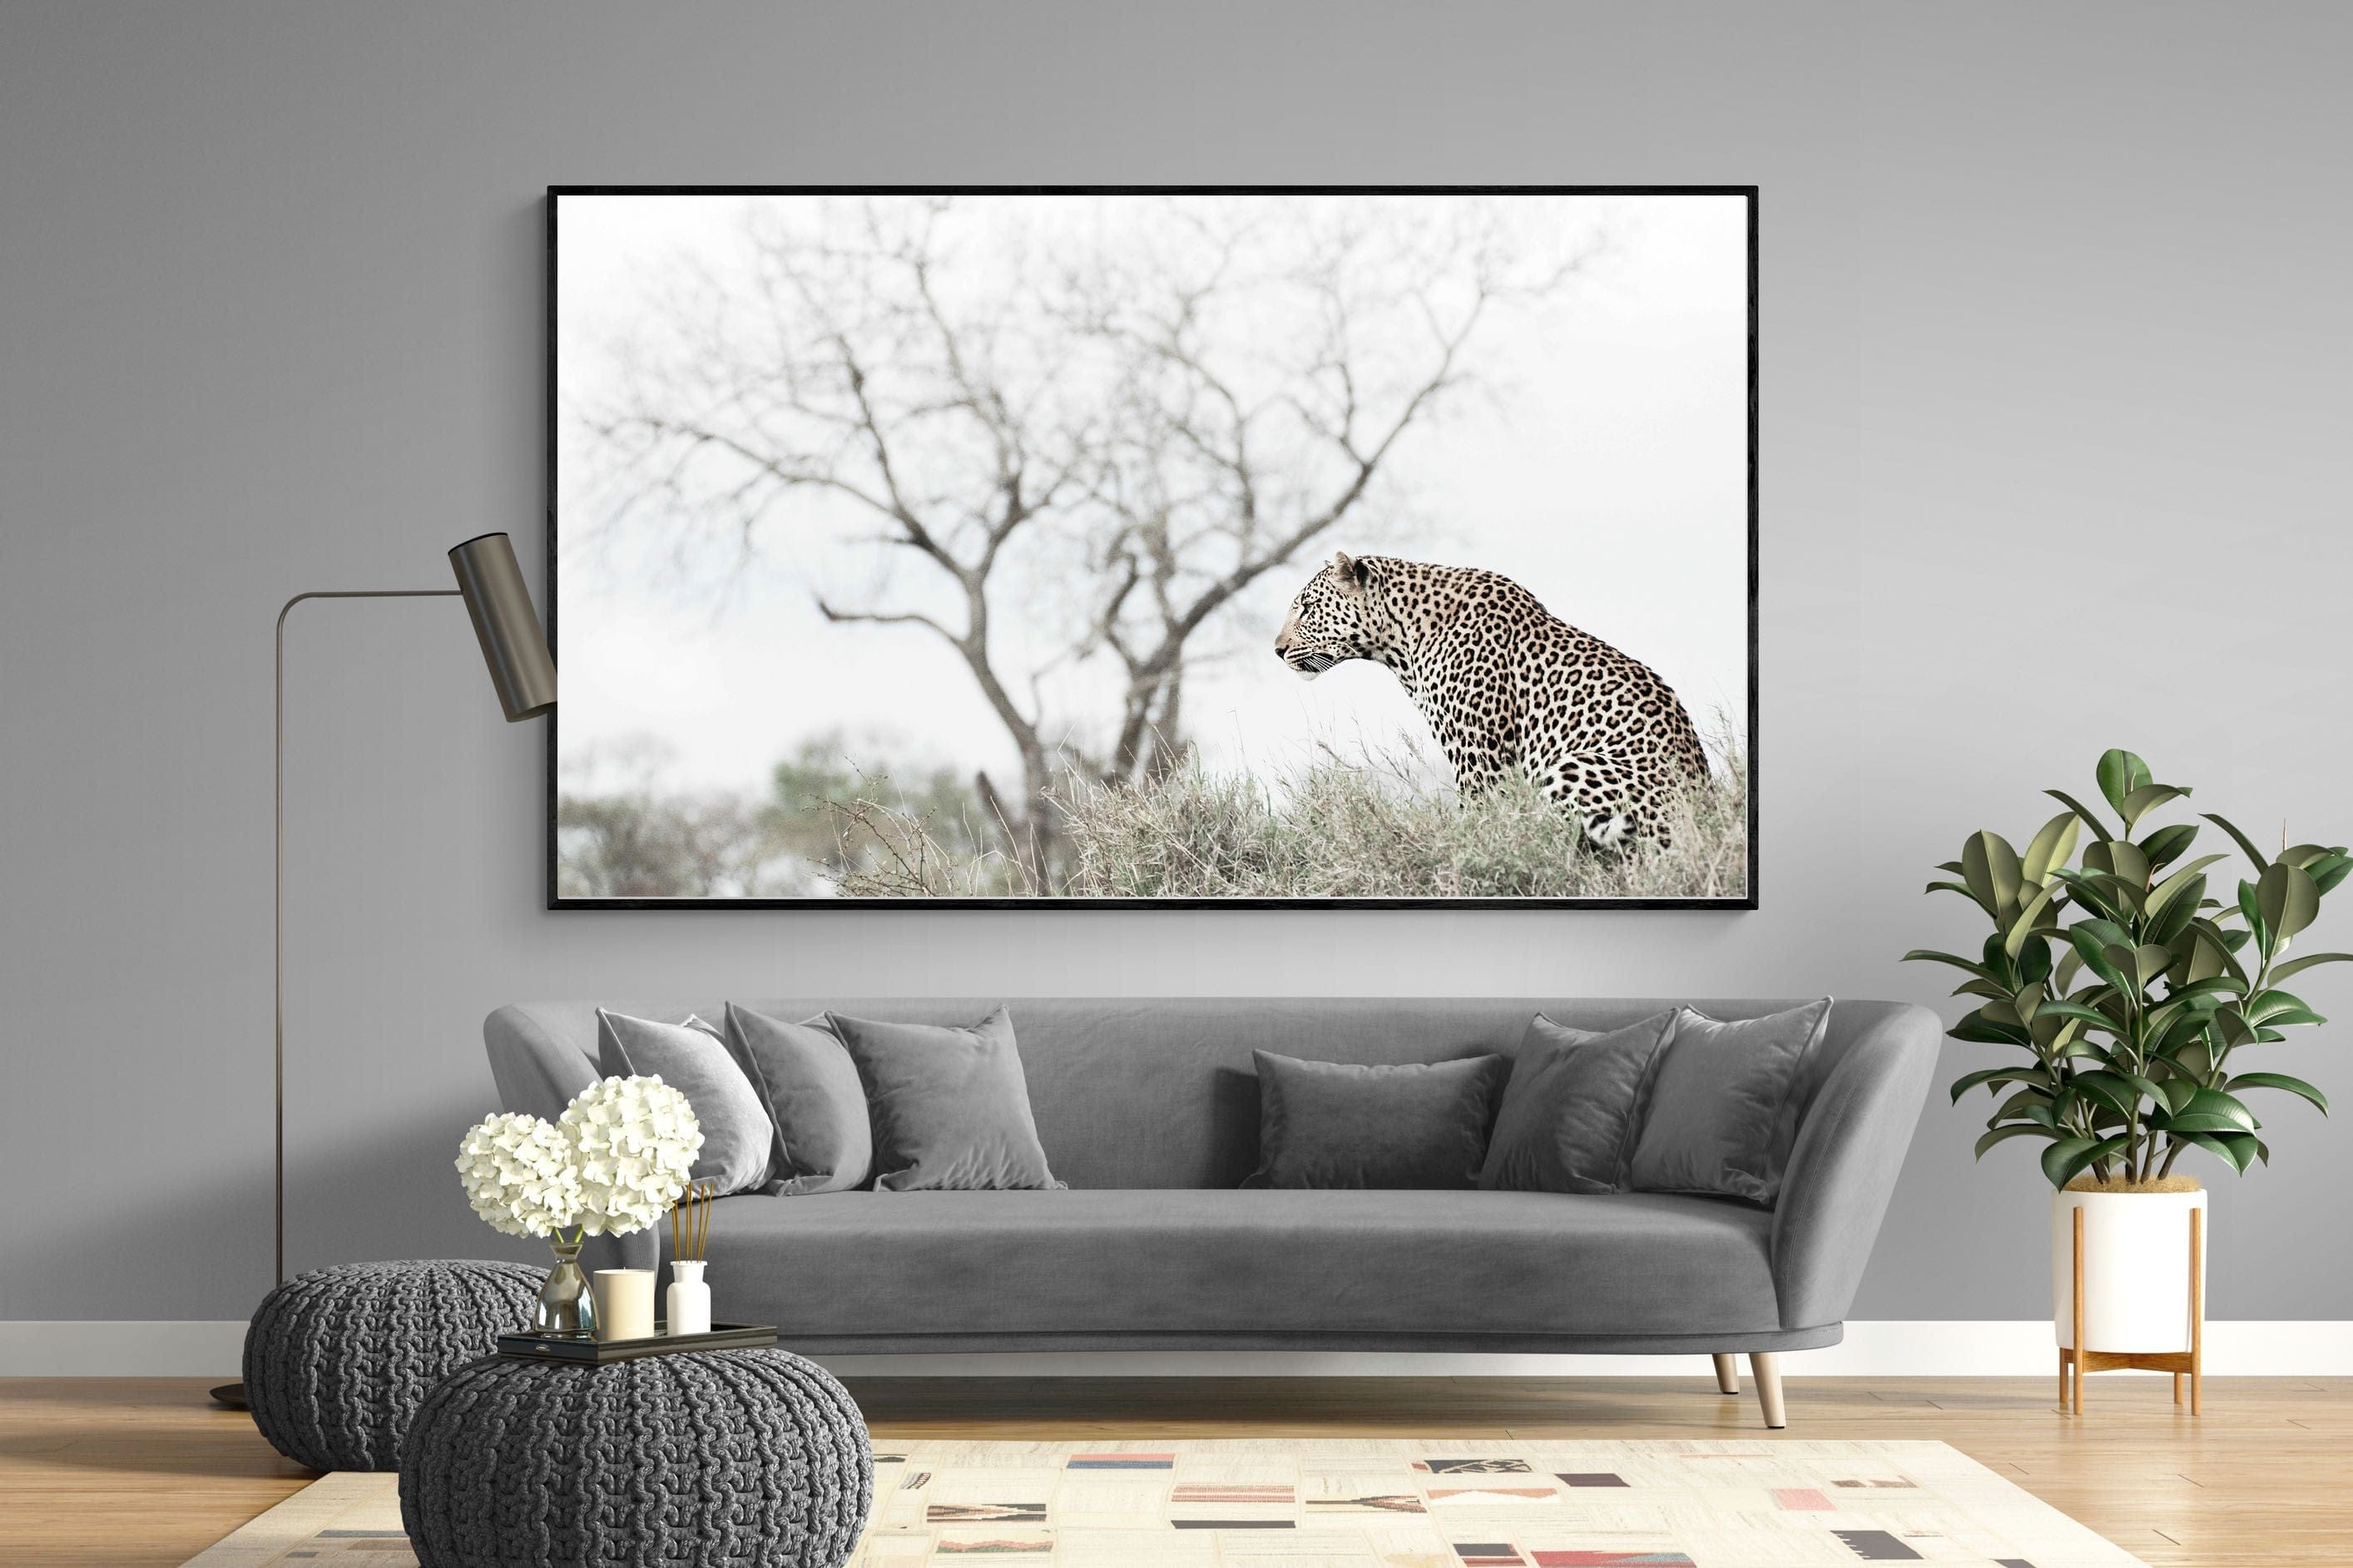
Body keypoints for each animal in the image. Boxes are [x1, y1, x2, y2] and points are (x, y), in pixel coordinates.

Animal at [1273, 551, 1711, 849]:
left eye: (1308, 608)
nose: (1277, 650)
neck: (1399, 640)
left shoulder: (1478, 755)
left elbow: (1478, 820)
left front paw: (1466, 852)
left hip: (1575, 766)